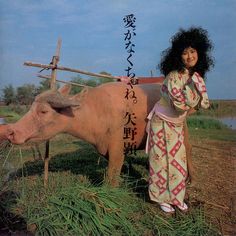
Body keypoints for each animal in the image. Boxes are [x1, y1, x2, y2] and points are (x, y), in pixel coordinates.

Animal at [3, 82, 194, 187]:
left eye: (43, 111)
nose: (11, 131)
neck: (97, 113)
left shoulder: (117, 149)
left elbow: (112, 174)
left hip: (183, 129)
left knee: (188, 150)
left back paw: (189, 179)